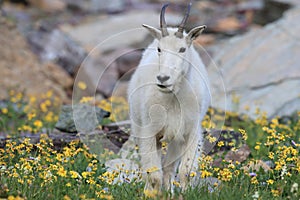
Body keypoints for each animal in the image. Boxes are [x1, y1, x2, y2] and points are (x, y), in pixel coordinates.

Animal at [127, 3, 210, 193]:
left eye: (182, 49)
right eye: (160, 49)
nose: (163, 79)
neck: (173, 98)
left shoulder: (190, 131)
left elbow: (185, 171)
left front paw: (184, 194)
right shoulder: (150, 131)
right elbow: (153, 174)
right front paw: (152, 194)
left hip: (174, 140)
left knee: (169, 168)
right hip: (140, 127)